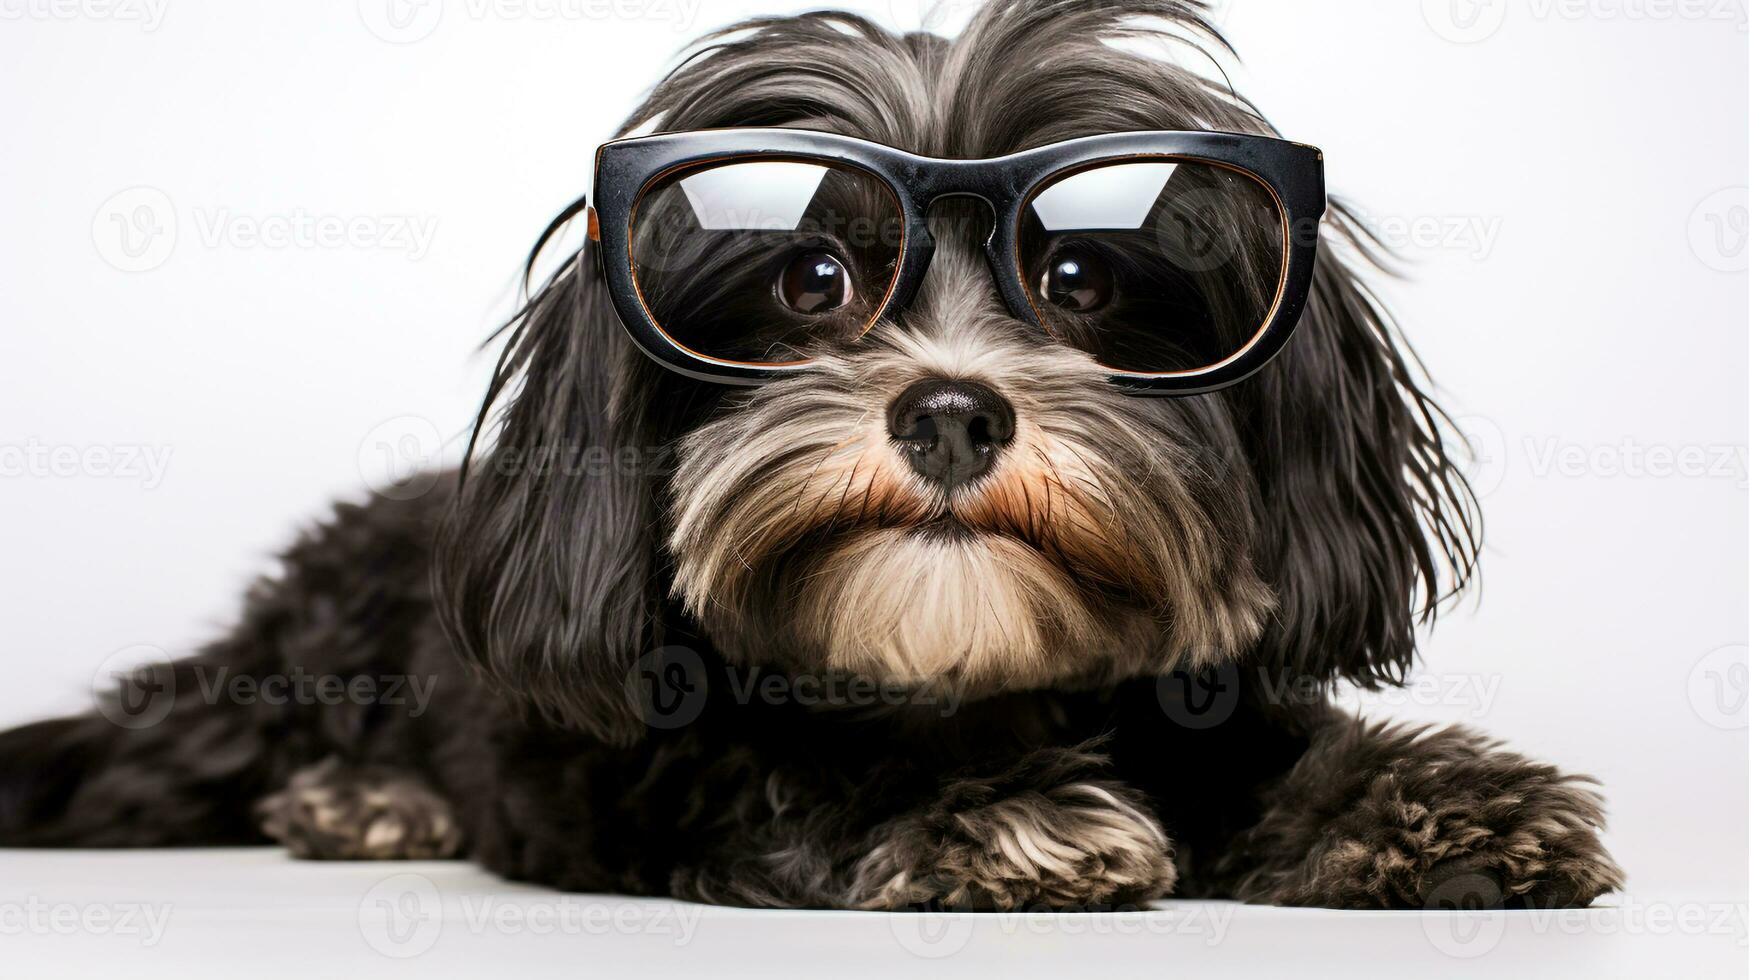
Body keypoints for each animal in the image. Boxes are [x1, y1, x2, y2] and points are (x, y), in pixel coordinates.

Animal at [0, 0, 1623, 910]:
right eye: (810, 279)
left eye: (1081, 277)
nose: (952, 412)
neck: (963, 674)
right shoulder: (639, 765)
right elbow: (784, 768)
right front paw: (982, 812)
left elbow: (1266, 749)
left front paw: (1436, 797)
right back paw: (364, 799)